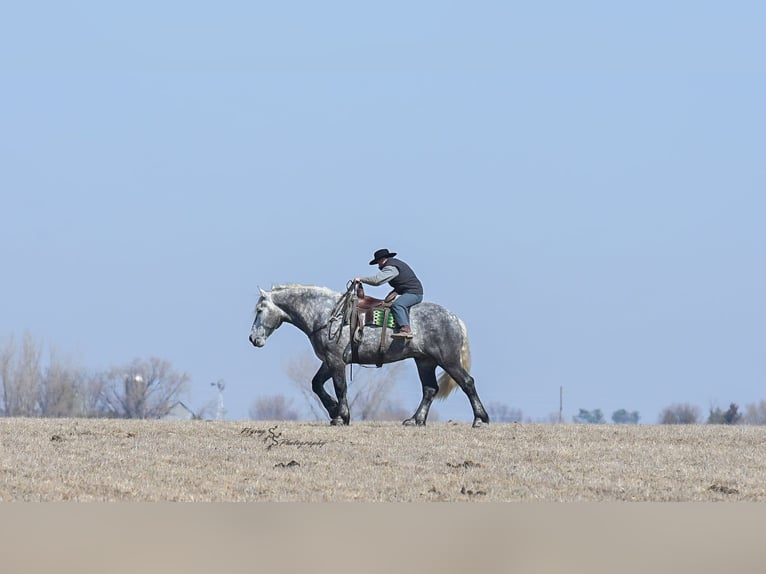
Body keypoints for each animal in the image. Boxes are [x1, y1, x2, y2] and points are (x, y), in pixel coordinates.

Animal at [248, 283, 490, 427]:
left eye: (260, 310)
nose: (253, 338)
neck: (327, 314)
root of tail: (454, 318)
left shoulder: (335, 361)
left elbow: (340, 387)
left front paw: (341, 416)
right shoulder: (329, 361)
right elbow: (317, 384)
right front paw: (334, 410)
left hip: (448, 360)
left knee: (467, 383)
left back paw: (480, 419)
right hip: (425, 362)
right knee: (430, 389)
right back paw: (415, 420)